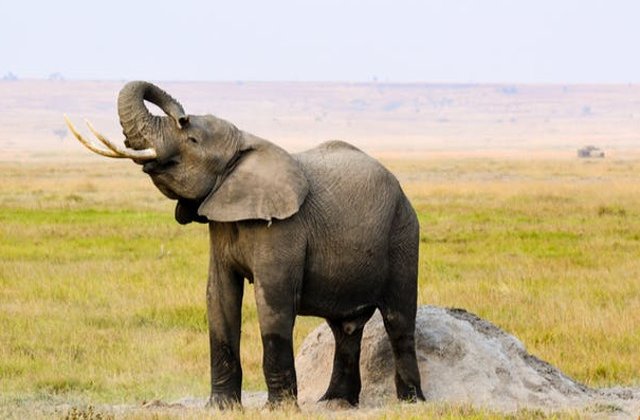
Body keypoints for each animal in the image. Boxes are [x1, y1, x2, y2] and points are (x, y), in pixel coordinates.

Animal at [64, 81, 425, 408]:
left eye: (192, 140)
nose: (181, 115)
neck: (246, 142)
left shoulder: (283, 229)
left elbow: (273, 303)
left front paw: (280, 409)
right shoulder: (221, 225)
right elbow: (219, 297)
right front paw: (221, 407)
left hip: (403, 232)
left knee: (398, 320)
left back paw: (410, 402)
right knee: (345, 328)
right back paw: (335, 403)